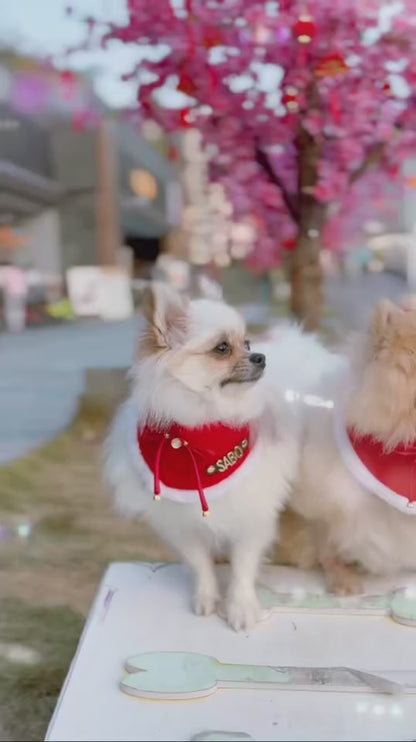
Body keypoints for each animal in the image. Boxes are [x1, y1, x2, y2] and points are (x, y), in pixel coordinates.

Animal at [105, 282, 334, 632]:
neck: (197, 435)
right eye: (222, 348)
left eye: (247, 343)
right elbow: (199, 563)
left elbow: (243, 567)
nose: (260, 356)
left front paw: (240, 608)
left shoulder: (252, 513)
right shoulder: (181, 522)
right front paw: (207, 596)